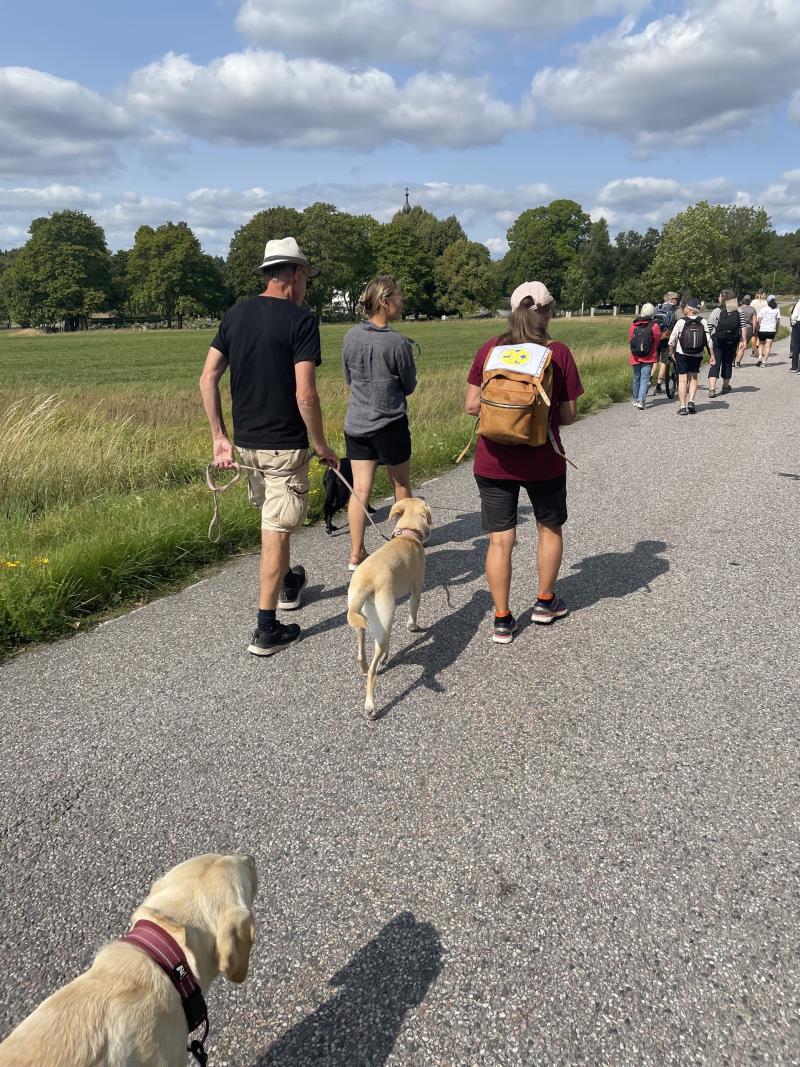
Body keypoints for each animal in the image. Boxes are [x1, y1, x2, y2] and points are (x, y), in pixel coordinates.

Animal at [345, 497, 433, 717]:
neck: (407, 536)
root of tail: (366, 581)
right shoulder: (417, 588)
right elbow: (413, 612)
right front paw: (414, 627)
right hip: (385, 618)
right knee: (375, 668)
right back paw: (370, 706)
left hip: (360, 620)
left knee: (361, 655)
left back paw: (365, 667)